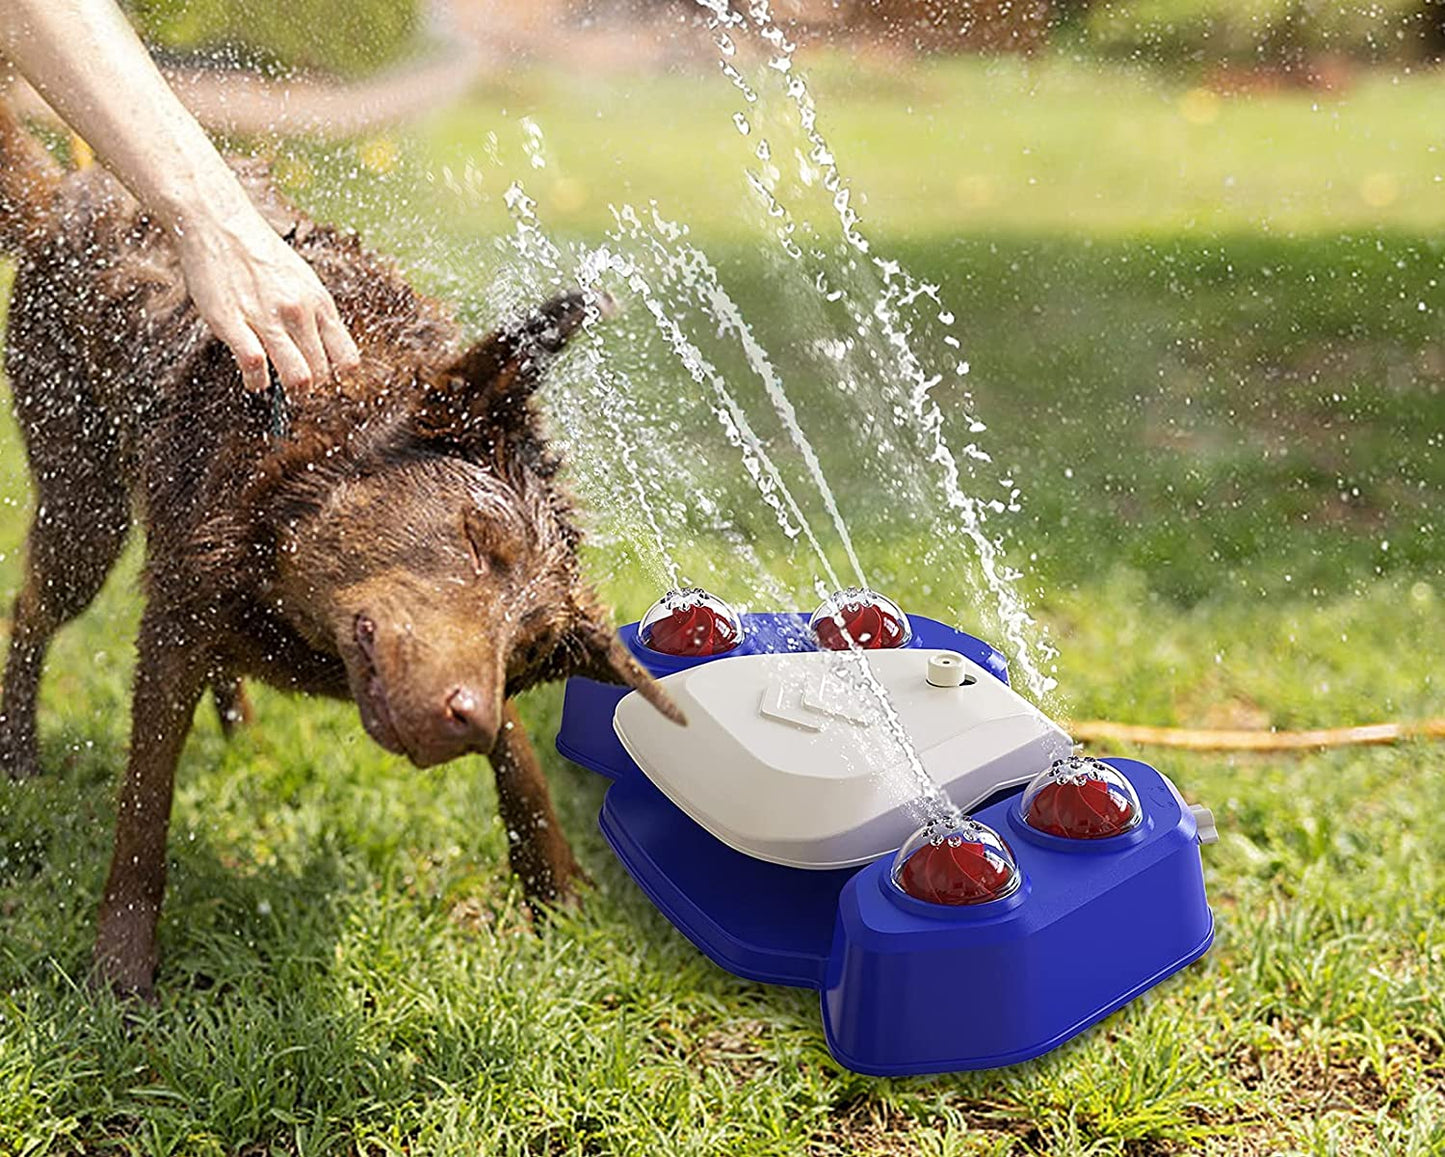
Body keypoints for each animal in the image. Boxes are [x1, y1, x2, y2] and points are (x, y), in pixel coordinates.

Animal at [0, 101, 679, 993]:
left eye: (531, 649)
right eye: (477, 539)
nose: (466, 722)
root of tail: (64, 194)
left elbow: (523, 760)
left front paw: (556, 895)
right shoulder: (182, 609)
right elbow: (145, 802)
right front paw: (121, 973)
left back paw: (238, 722)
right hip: (84, 503)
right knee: (30, 610)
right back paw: (19, 754)